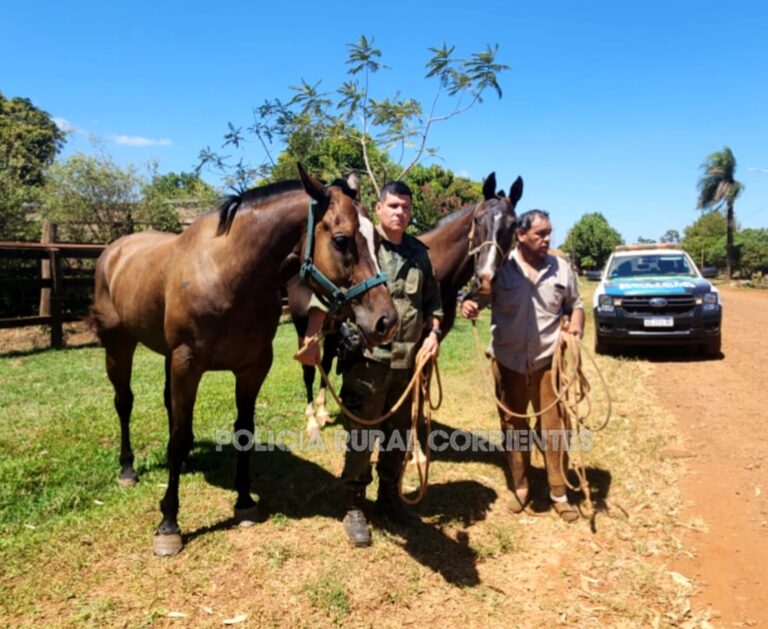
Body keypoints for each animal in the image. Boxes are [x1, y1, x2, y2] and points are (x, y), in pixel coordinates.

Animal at [91, 164, 398, 555]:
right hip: (119, 346)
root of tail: (113, 252)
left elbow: (243, 432)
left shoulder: (252, 368)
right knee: (124, 402)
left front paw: (243, 501)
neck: (227, 275)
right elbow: (177, 436)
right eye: (342, 240)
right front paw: (169, 523)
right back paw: (128, 469)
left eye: (377, 241)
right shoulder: (187, 365)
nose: (386, 321)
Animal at [291, 172, 523, 435]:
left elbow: (422, 386)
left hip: (330, 331)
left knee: (326, 363)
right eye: (478, 219)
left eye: (514, 224)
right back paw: (312, 420)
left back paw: (322, 412)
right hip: (304, 329)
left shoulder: (430, 343)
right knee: (309, 370)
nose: (485, 277)